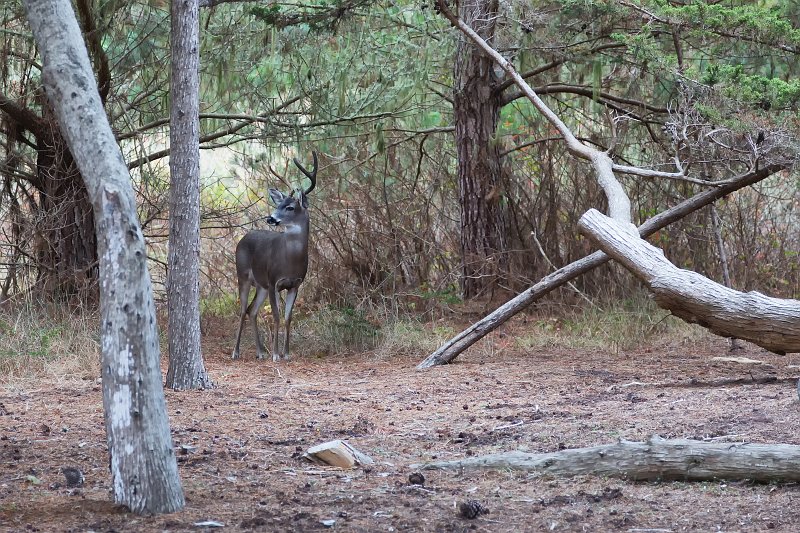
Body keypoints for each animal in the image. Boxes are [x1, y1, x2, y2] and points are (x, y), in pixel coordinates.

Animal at [231, 152, 317, 362]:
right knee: (242, 310)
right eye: (278, 204)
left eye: (290, 207)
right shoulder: (273, 282)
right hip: (243, 275)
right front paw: (276, 354)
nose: (271, 218)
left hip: (260, 284)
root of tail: (243, 237)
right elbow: (276, 316)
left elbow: (288, 317)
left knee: (252, 310)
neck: (290, 261)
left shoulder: (295, 284)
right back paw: (236, 351)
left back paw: (260, 351)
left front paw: (286, 353)